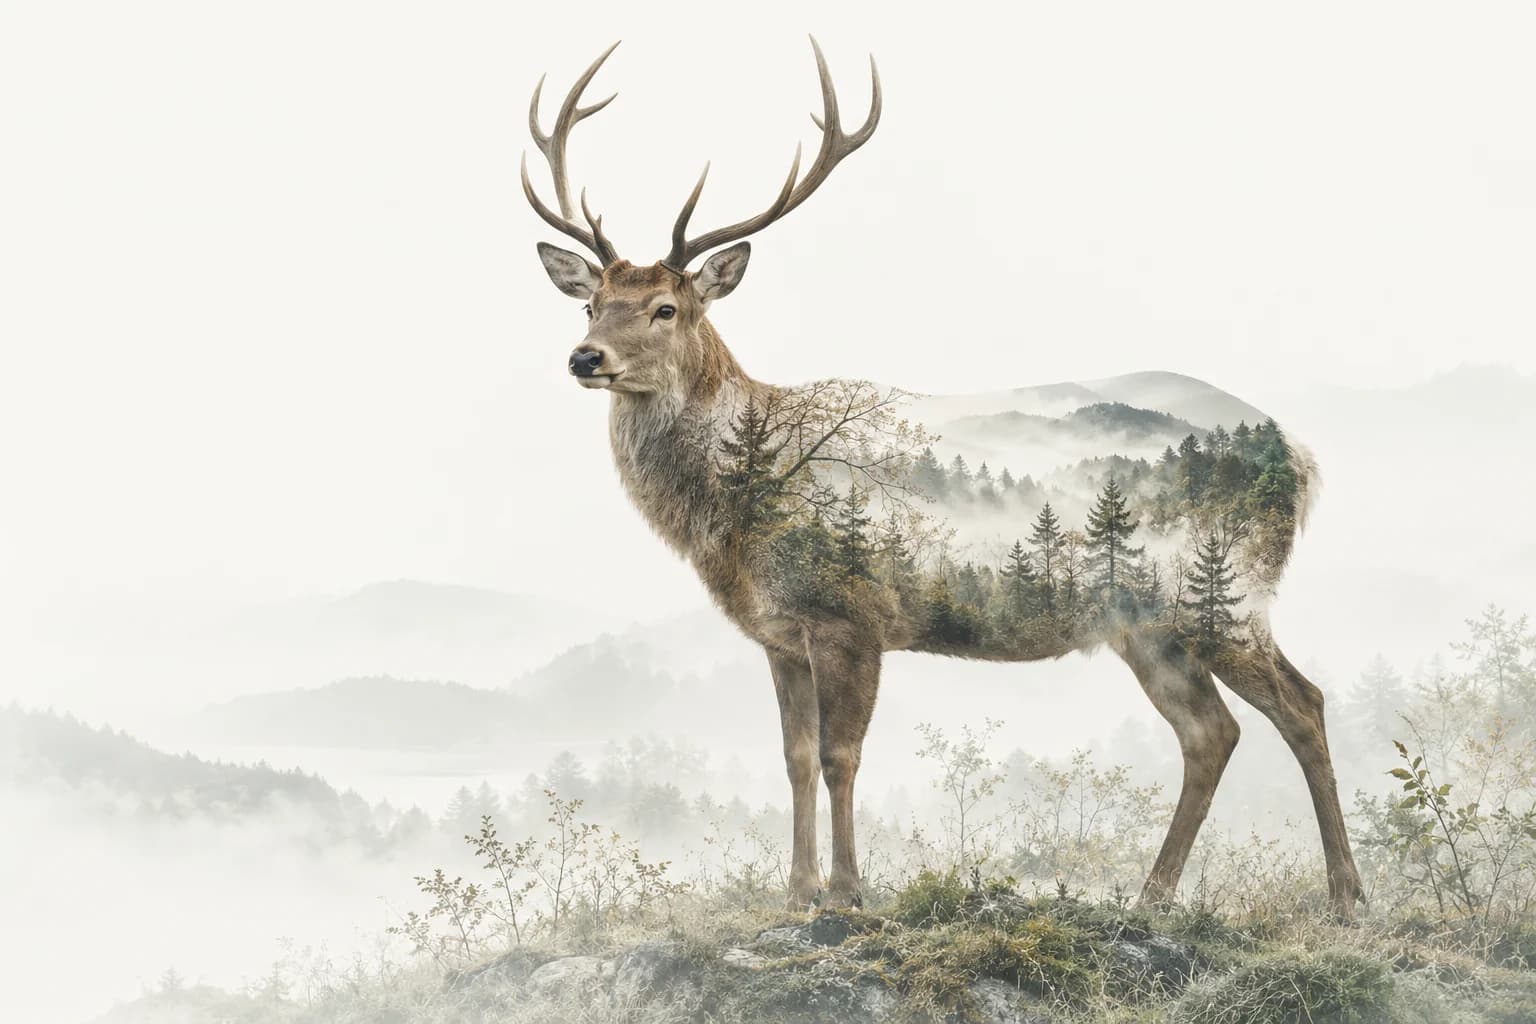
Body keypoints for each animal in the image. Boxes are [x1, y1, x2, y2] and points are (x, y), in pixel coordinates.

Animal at [520, 39, 1365, 917]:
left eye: (666, 309)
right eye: (590, 304)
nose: (585, 358)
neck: (738, 509)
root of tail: (1303, 458)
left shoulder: (850, 611)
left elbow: (841, 755)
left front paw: (849, 891)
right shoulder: (780, 633)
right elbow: (794, 757)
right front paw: (797, 891)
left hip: (1225, 592)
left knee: (1302, 704)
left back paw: (1345, 894)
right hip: (1148, 623)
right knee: (1211, 731)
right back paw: (1152, 895)